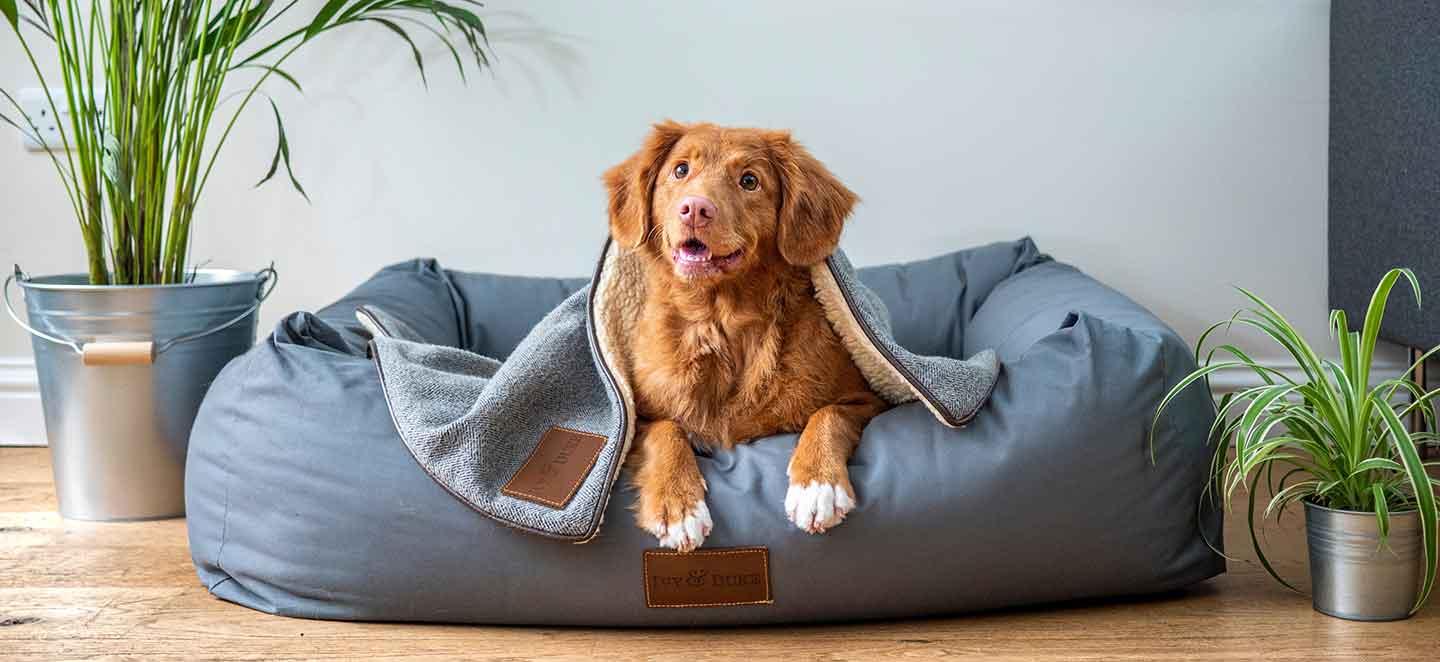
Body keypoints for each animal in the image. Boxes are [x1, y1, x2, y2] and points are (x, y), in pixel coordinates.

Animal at [599, 121, 887, 549]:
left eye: (749, 181)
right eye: (681, 170)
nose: (695, 209)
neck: (721, 322)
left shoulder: (868, 399)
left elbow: (829, 413)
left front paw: (817, 486)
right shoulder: (636, 417)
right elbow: (666, 431)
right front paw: (678, 504)